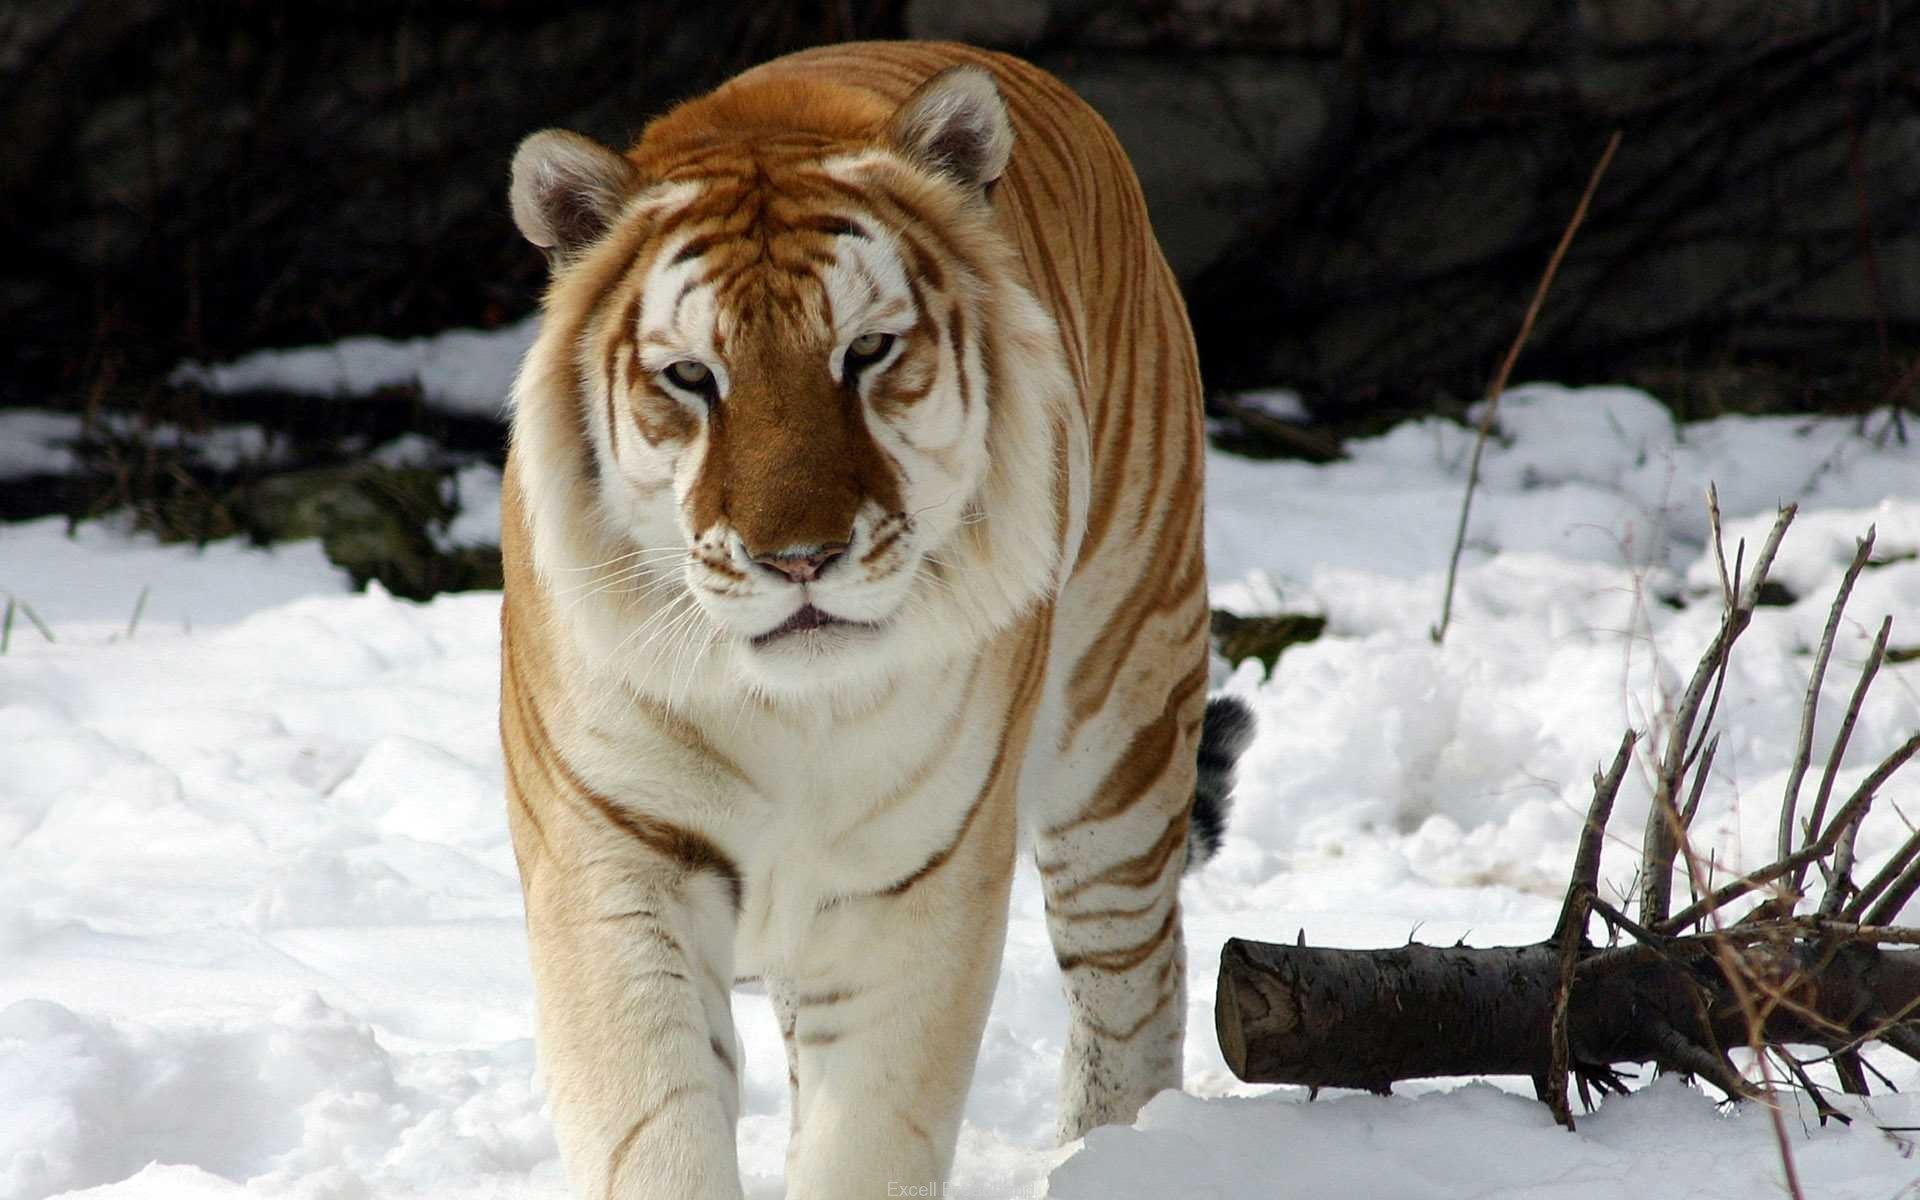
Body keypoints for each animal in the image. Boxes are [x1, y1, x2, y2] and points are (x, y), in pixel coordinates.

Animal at [499, 39, 1253, 1199]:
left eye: (865, 353)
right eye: (692, 376)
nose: (800, 558)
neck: (788, 710)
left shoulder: (917, 878)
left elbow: (869, 1133)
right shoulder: (614, 855)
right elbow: (657, 1124)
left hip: (1122, 719)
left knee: (1136, 974)